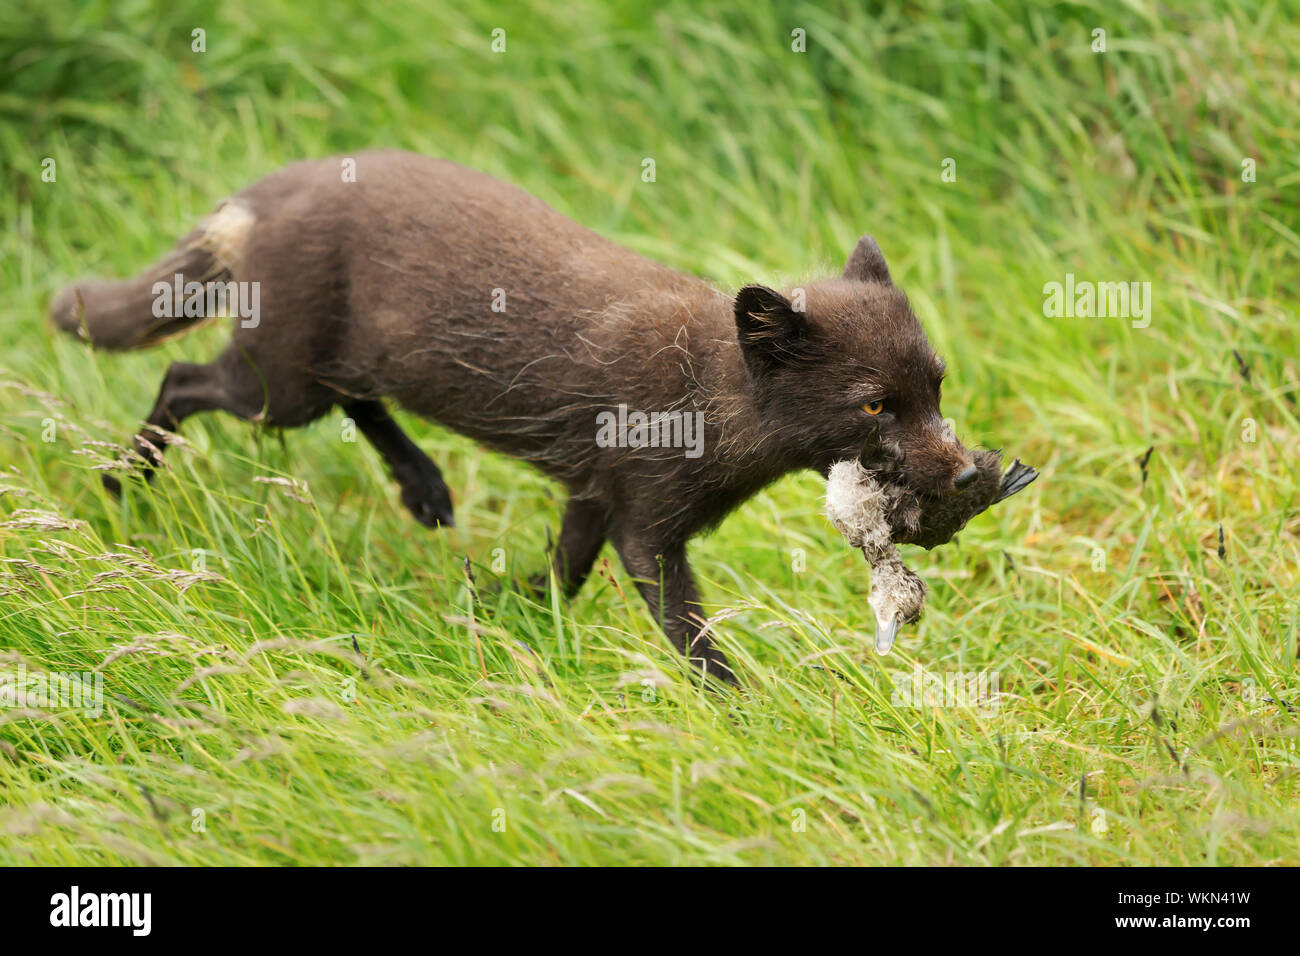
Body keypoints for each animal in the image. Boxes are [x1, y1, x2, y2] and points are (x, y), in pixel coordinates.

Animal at [51, 150, 981, 685]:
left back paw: (425, 491)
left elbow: (565, 573)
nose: (972, 472)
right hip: (276, 389)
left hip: (325, 373)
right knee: (180, 377)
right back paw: (122, 485)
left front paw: (500, 605)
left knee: (354, 399)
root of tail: (266, 188)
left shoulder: (593, 494)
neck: (711, 402)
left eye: (938, 385)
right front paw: (748, 717)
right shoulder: (646, 524)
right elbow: (689, 636)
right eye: (874, 404)